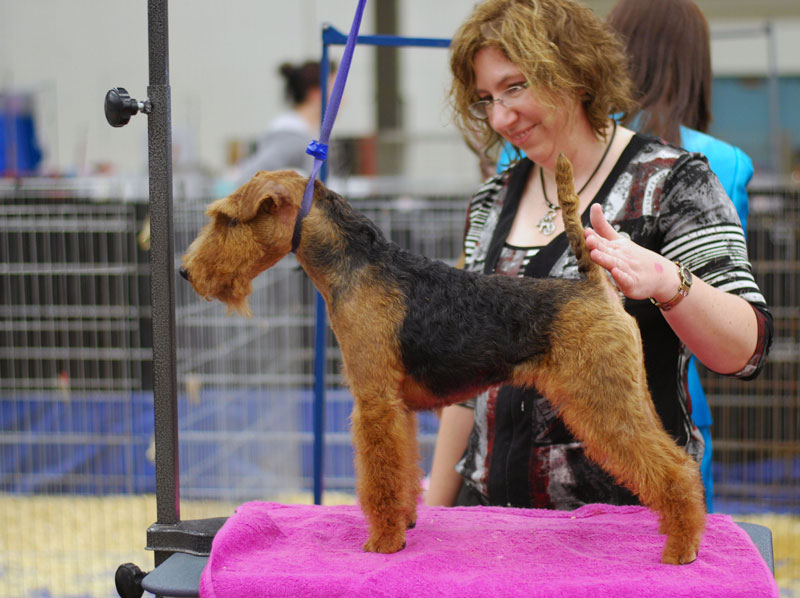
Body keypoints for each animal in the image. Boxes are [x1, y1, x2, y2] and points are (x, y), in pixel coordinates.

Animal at [181, 156, 708, 568]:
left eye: (227, 219)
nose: (186, 272)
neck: (357, 266)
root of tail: (594, 285)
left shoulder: (374, 401)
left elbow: (379, 476)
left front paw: (383, 542)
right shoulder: (398, 407)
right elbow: (401, 470)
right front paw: (406, 522)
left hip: (603, 402)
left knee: (675, 471)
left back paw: (680, 548)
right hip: (629, 395)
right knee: (676, 459)